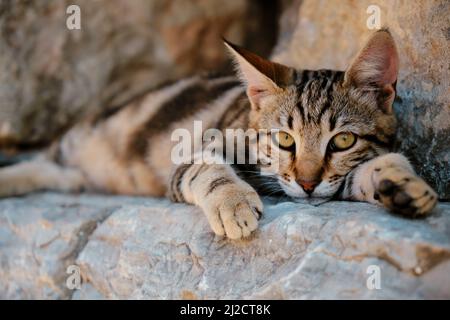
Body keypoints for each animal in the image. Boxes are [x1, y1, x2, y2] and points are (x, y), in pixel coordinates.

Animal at [0, 30, 436, 239]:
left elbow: (372, 169)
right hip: (75, 141)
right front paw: (233, 203)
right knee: (37, 160)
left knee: (55, 174)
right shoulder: (192, 155)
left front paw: (402, 182)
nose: (308, 183)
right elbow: (208, 170)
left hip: (72, 176)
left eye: (343, 141)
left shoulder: (333, 180)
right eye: (284, 140)